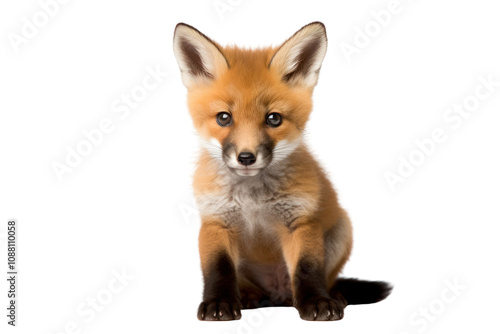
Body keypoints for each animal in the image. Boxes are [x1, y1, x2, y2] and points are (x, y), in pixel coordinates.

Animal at [174, 20, 392, 320]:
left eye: (273, 119)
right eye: (224, 118)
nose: (246, 157)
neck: (253, 199)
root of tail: (277, 295)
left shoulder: (300, 222)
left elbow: (306, 268)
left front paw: (316, 303)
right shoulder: (216, 222)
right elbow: (218, 269)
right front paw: (218, 303)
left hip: (342, 230)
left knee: (324, 281)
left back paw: (332, 296)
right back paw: (248, 297)